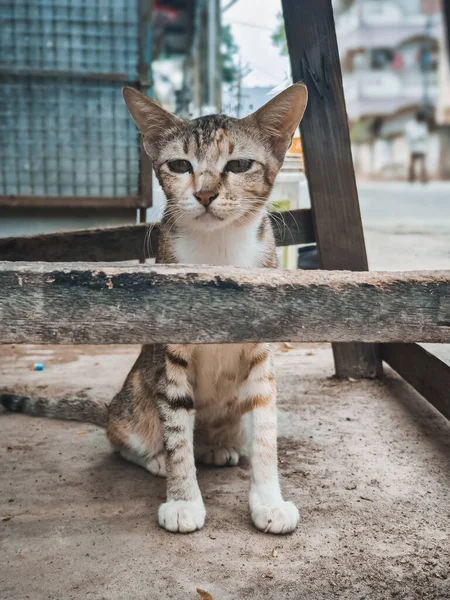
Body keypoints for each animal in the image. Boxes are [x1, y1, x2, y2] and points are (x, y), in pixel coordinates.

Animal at [0, 81, 308, 536]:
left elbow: (266, 427)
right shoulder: (169, 347)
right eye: (180, 165)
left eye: (239, 164)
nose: (204, 193)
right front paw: (183, 500)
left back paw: (217, 447)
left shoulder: (262, 350)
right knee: (123, 439)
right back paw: (157, 457)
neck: (218, 253)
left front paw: (269, 500)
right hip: (132, 402)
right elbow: (177, 427)